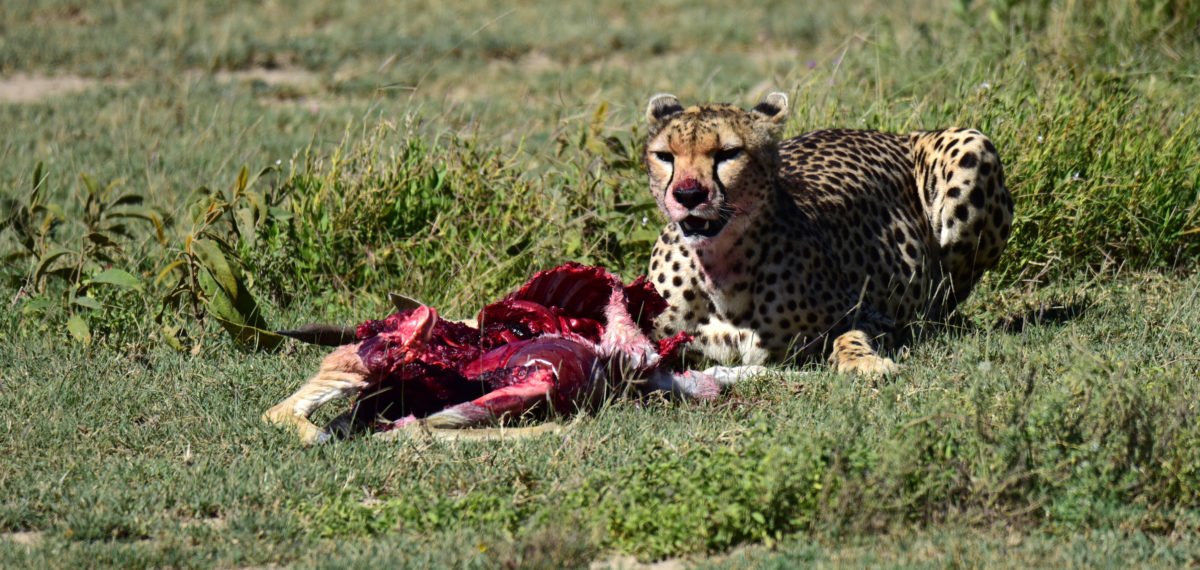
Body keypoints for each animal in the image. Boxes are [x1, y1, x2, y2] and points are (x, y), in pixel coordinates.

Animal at [648, 91, 1012, 376]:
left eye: (728, 153)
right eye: (665, 156)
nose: (688, 194)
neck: (719, 268)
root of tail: (896, 135)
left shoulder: (876, 316)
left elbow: (848, 335)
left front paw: (864, 362)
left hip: (972, 145)